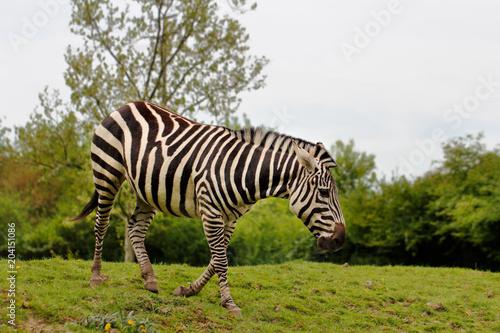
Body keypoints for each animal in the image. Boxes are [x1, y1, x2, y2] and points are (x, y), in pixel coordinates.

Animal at [72, 100, 346, 314]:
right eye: (324, 193)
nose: (340, 240)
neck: (244, 173)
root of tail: (127, 105)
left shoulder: (231, 217)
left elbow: (217, 257)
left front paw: (189, 290)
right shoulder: (210, 211)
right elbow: (221, 260)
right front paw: (229, 302)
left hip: (146, 190)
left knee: (135, 229)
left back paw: (149, 278)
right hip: (107, 172)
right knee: (102, 223)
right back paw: (95, 276)